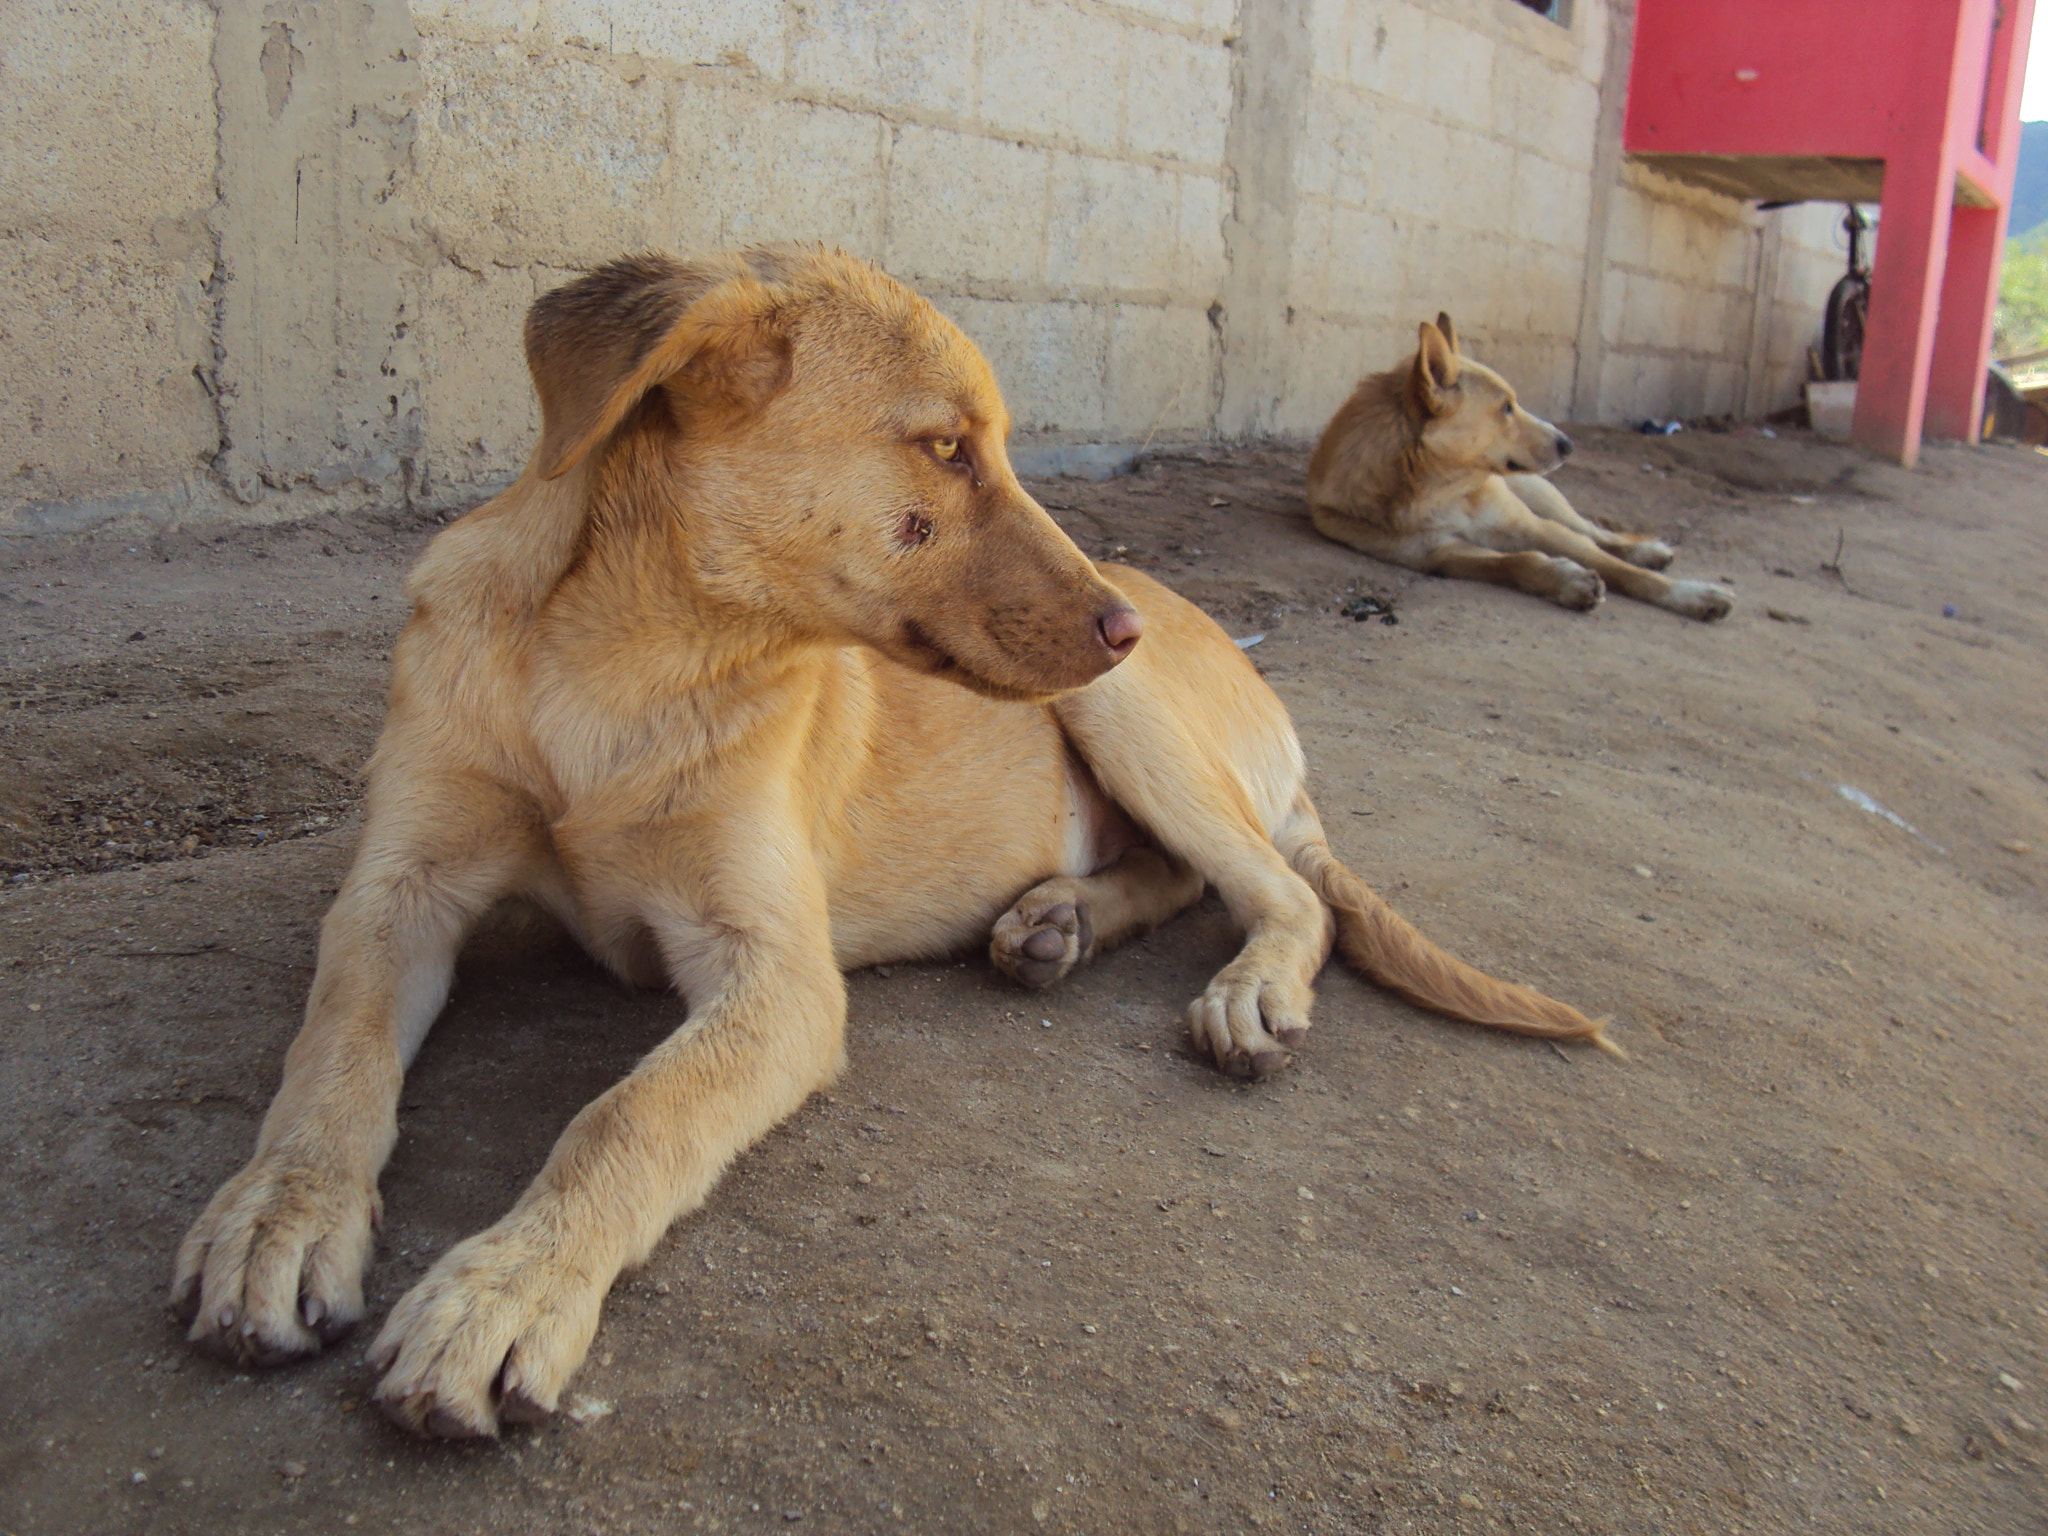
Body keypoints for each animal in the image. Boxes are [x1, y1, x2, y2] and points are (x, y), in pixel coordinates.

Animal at [176, 249, 1613, 1441]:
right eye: (945, 449)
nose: (1119, 624)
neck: (619, 665)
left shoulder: (777, 979)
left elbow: (628, 1116)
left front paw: (506, 1291)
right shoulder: (398, 892)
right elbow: (333, 1052)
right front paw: (279, 1216)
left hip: (1127, 723)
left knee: (1281, 898)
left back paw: (1243, 987)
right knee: (1177, 874)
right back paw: (1055, 921)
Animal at [1310, 315, 1728, 622]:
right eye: (1507, 408)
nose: (1568, 444)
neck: (1439, 487)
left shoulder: (1533, 527)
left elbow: (1613, 564)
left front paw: (1692, 594)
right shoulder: (1439, 552)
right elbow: (1517, 561)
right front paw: (1566, 581)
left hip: (1543, 497)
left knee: (1591, 531)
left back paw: (1648, 551)